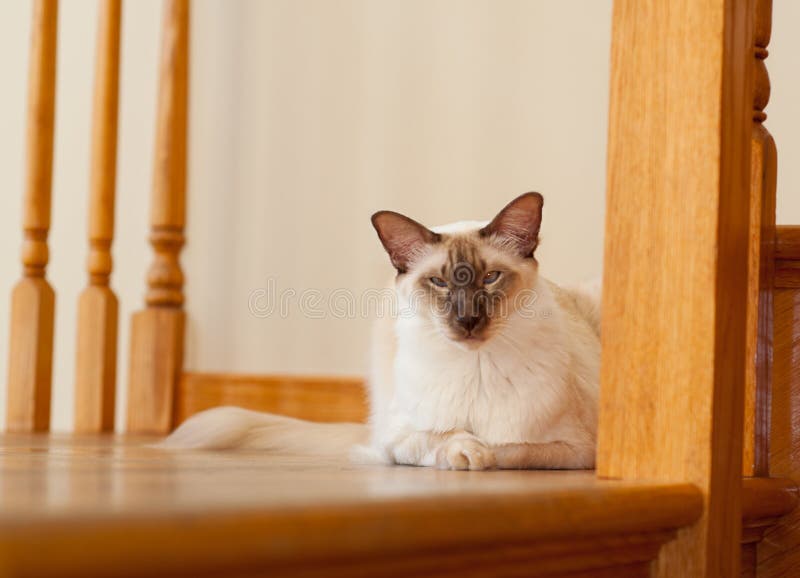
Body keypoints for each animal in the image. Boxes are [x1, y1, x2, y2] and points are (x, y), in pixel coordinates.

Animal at [161, 192, 600, 468]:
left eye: (490, 278)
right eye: (439, 283)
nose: (468, 321)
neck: (474, 370)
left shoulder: (577, 450)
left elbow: (508, 450)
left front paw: (481, 454)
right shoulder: (396, 440)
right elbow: (444, 439)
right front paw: (465, 452)